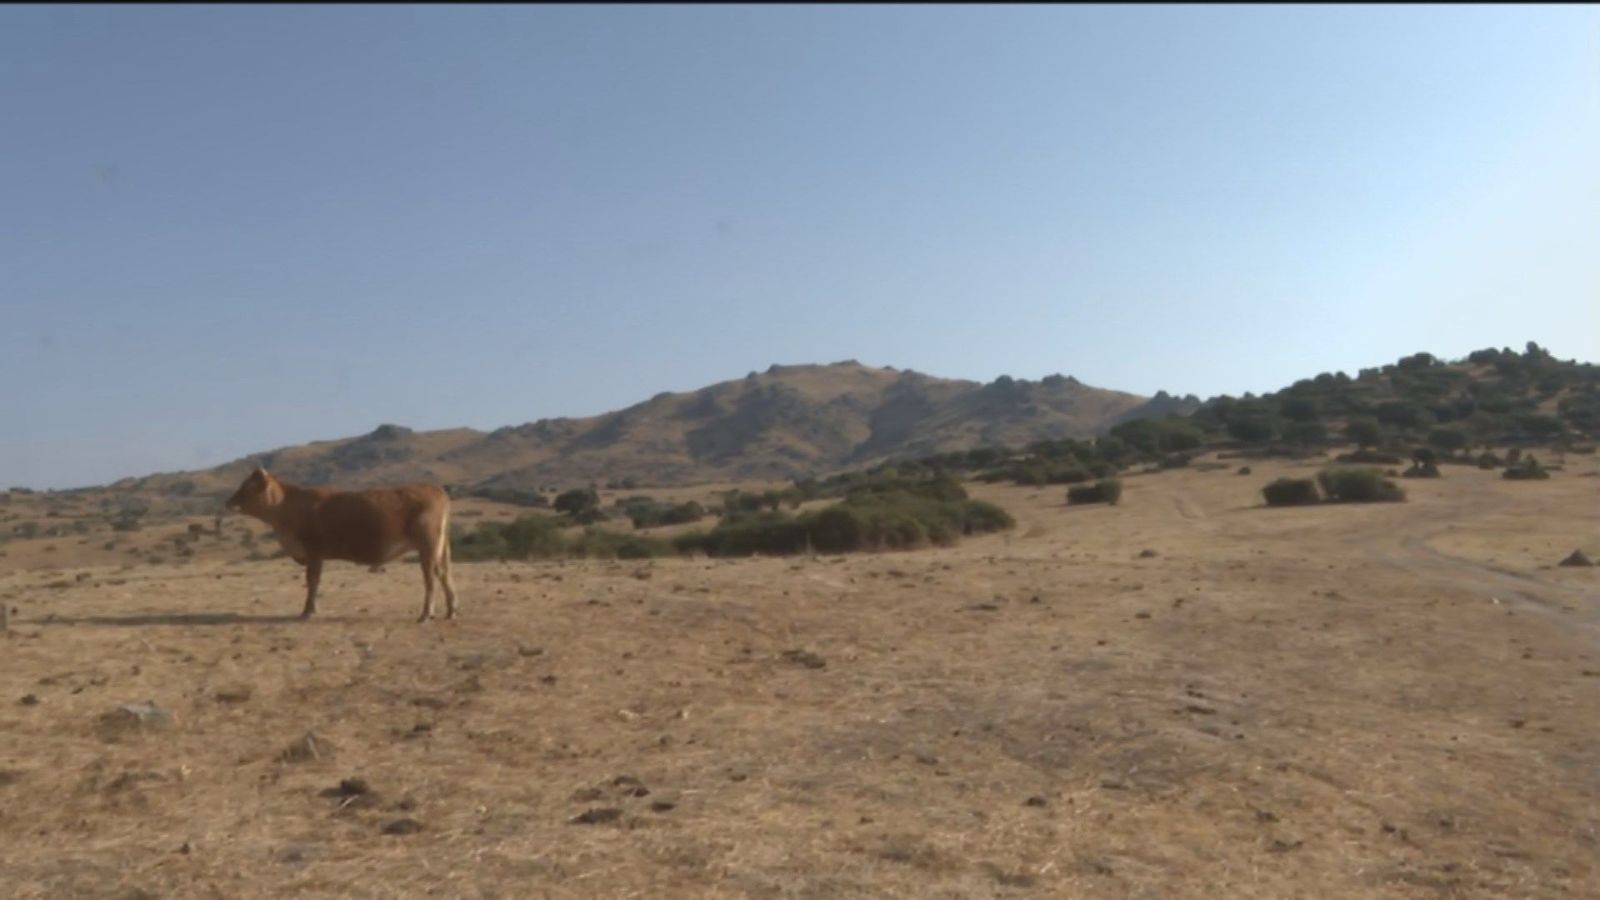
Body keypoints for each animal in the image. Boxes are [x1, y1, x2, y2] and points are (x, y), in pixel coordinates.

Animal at [224, 467, 458, 622]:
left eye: (248, 487)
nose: (228, 502)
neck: (287, 507)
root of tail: (434, 488)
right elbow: (314, 582)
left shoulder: (313, 552)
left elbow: (312, 581)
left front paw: (307, 611)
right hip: (440, 547)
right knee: (445, 574)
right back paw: (450, 611)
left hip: (427, 546)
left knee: (430, 578)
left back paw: (426, 614)